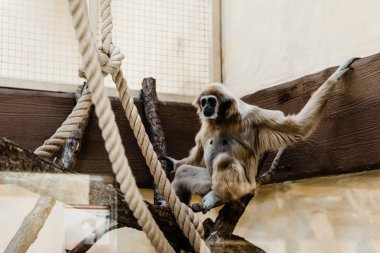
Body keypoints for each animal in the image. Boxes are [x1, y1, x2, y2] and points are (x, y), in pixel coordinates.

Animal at [168, 57, 358, 211]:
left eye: (211, 101)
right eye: (204, 101)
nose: (206, 107)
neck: (221, 121)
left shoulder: (252, 116)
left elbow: (297, 128)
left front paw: (334, 76)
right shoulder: (205, 128)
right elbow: (197, 158)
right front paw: (172, 164)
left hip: (242, 187)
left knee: (224, 160)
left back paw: (217, 195)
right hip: (208, 181)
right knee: (184, 171)